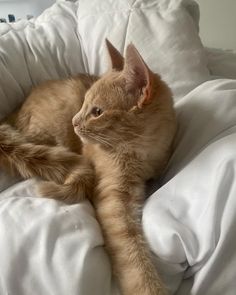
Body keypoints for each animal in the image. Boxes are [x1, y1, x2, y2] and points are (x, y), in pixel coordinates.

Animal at [0, 40, 177, 294]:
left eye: (97, 112)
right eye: (84, 104)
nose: (75, 121)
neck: (144, 154)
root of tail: (14, 110)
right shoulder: (113, 198)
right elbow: (132, 254)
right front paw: (148, 286)